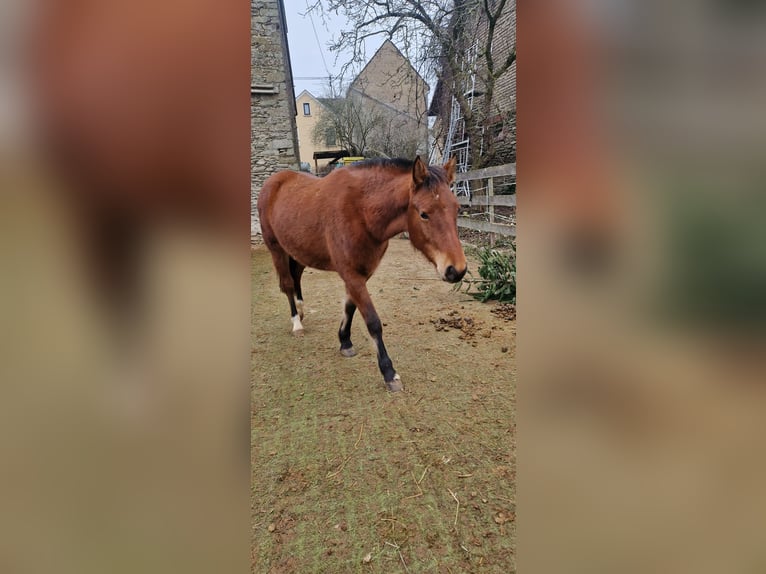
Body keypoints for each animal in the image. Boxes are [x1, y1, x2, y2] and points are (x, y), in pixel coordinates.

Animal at [260, 155, 468, 394]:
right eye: (424, 214)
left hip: (298, 250)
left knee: (296, 277)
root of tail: (274, 181)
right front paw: (389, 372)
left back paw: (302, 310)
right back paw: (296, 323)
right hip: (276, 249)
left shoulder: (361, 274)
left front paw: (345, 342)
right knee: (287, 285)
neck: (361, 211)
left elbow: (350, 307)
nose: (457, 270)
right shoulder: (352, 275)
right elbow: (372, 322)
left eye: (457, 209)